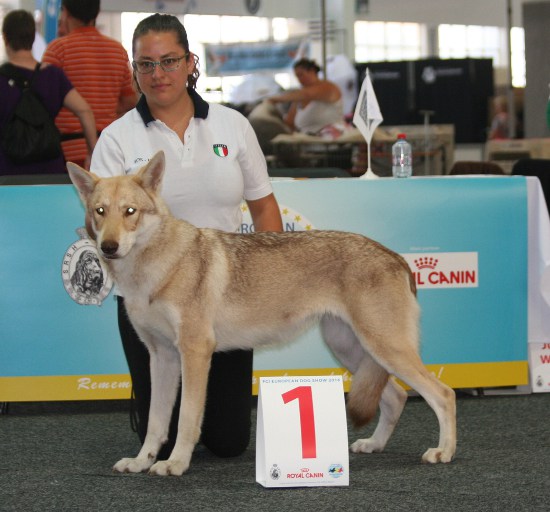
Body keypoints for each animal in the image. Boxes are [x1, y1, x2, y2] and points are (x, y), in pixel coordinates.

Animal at [68, 152, 458, 476]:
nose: (108, 247)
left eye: (129, 212)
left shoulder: (195, 352)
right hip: (353, 350)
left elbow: (187, 420)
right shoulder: (161, 357)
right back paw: (373, 445)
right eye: (100, 211)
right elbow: (155, 423)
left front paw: (175, 463)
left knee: (443, 394)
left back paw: (443, 452)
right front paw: (142, 462)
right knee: (396, 397)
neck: (153, 270)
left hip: (383, 349)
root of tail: (396, 257)